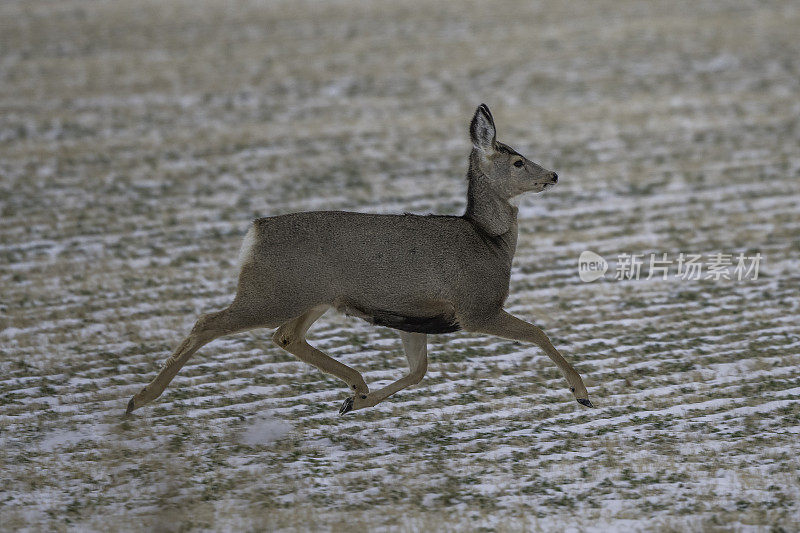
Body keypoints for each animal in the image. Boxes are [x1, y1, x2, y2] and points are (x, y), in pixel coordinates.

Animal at [125, 104, 592, 418]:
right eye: (517, 160)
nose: (552, 175)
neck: (489, 241)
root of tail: (253, 234)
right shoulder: (476, 306)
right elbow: (538, 333)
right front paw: (582, 393)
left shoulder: (414, 315)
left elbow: (419, 371)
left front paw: (357, 402)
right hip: (271, 292)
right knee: (208, 322)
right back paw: (138, 399)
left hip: (311, 298)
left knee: (285, 336)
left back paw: (357, 384)